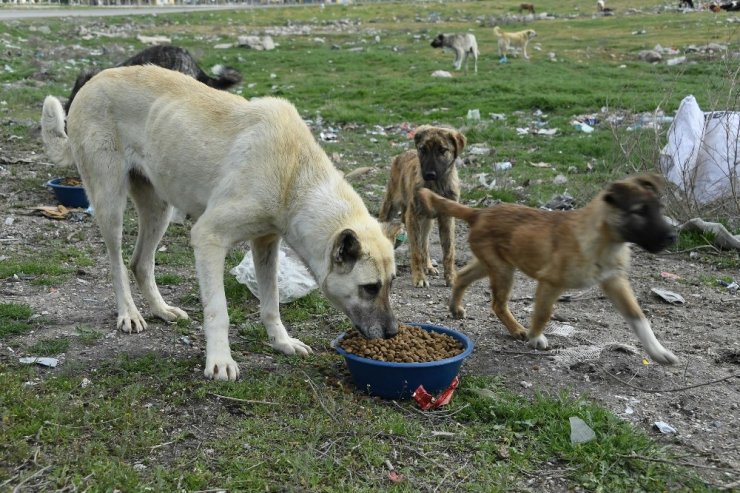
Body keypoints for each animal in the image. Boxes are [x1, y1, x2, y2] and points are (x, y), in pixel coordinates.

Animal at [378, 125, 466, 288]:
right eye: (423, 149)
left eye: (442, 150)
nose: (429, 174)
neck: (436, 186)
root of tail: (403, 154)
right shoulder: (413, 216)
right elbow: (416, 252)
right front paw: (419, 277)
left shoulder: (447, 218)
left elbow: (449, 251)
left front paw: (451, 277)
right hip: (391, 206)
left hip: (427, 222)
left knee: (424, 243)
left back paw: (429, 266)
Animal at [420, 174, 680, 366]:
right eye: (639, 211)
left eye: (658, 208)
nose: (672, 237)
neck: (603, 240)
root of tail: (479, 212)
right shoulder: (550, 282)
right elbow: (543, 313)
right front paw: (536, 337)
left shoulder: (615, 281)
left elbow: (639, 317)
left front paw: (658, 352)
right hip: (502, 270)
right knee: (497, 303)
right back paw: (518, 329)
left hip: (494, 264)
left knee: (462, 276)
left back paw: (455, 308)